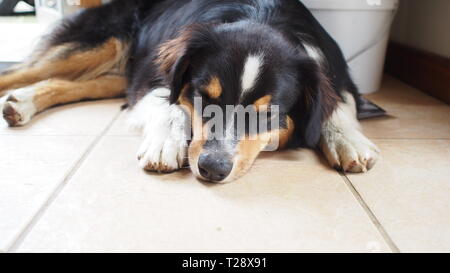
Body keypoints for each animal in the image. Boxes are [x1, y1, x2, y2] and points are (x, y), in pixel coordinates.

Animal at [0, 0, 380, 183]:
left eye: (267, 115)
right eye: (204, 97)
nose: (212, 168)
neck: (262, 18)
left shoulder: (336, 74)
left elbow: (338, 106)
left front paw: (348, 140)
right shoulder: (155, 79)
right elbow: (171, 107)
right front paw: (165, 143)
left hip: (121, 67)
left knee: (74, 83)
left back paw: (21, 103)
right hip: (104, 42)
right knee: (19, 70)